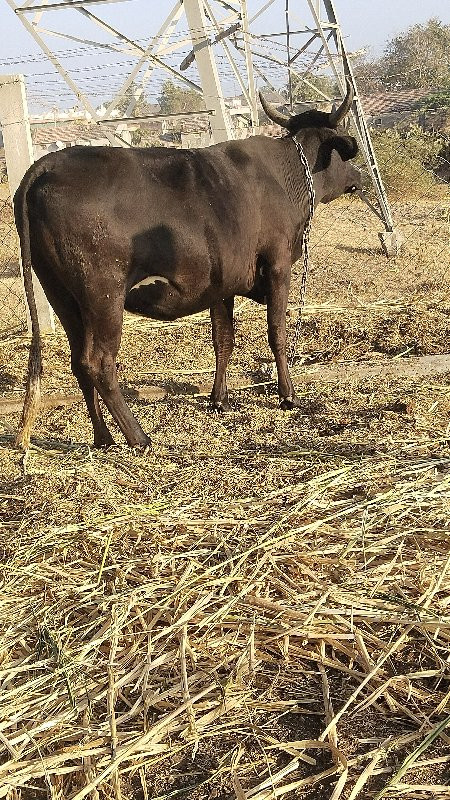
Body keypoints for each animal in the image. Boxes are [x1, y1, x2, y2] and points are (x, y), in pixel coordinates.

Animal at [14, 84, 362, 454]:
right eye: (344, 146)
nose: (358, 177)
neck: (285, 177)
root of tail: (48, 164)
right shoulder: (278, 265)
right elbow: (276, 332)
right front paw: (288, 396)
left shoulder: (222, 283)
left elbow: (223, 339)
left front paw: (218, 399)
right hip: (103, 295)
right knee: (98, 363)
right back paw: (139, 438)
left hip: (62, 296)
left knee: (79, 363)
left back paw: (104, 438)